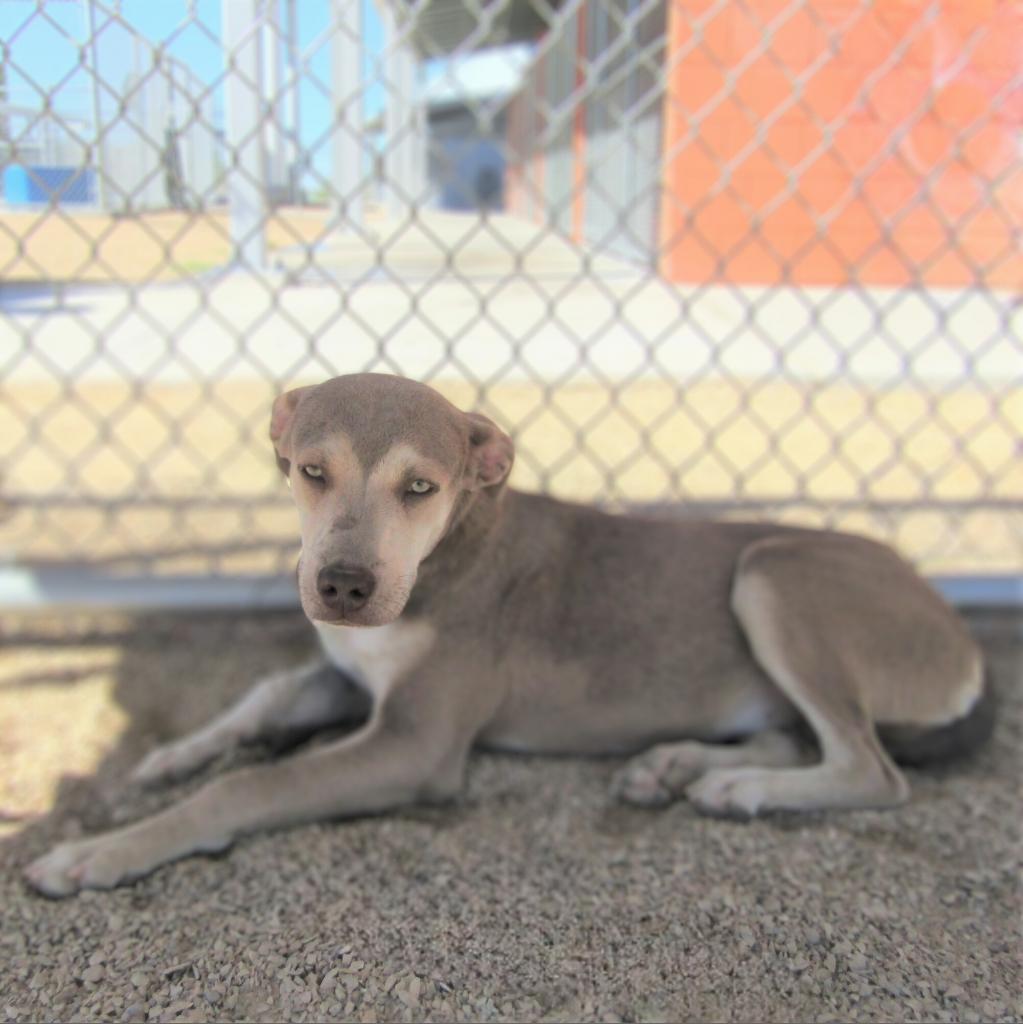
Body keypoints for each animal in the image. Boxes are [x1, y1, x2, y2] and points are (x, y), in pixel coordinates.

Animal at [24, 376, 991, 897]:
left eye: (420, 486)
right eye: (309, 470)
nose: (343, 586)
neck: (440, 562)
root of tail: (957, 634)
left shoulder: (413, 745)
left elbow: (248, 786)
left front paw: (97, 852)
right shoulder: (350, 675)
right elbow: (258, 700)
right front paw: (165, 758)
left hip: (774, 574)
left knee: (872, 769)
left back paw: (737, 788)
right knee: (800, 735)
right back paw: (679, 766)